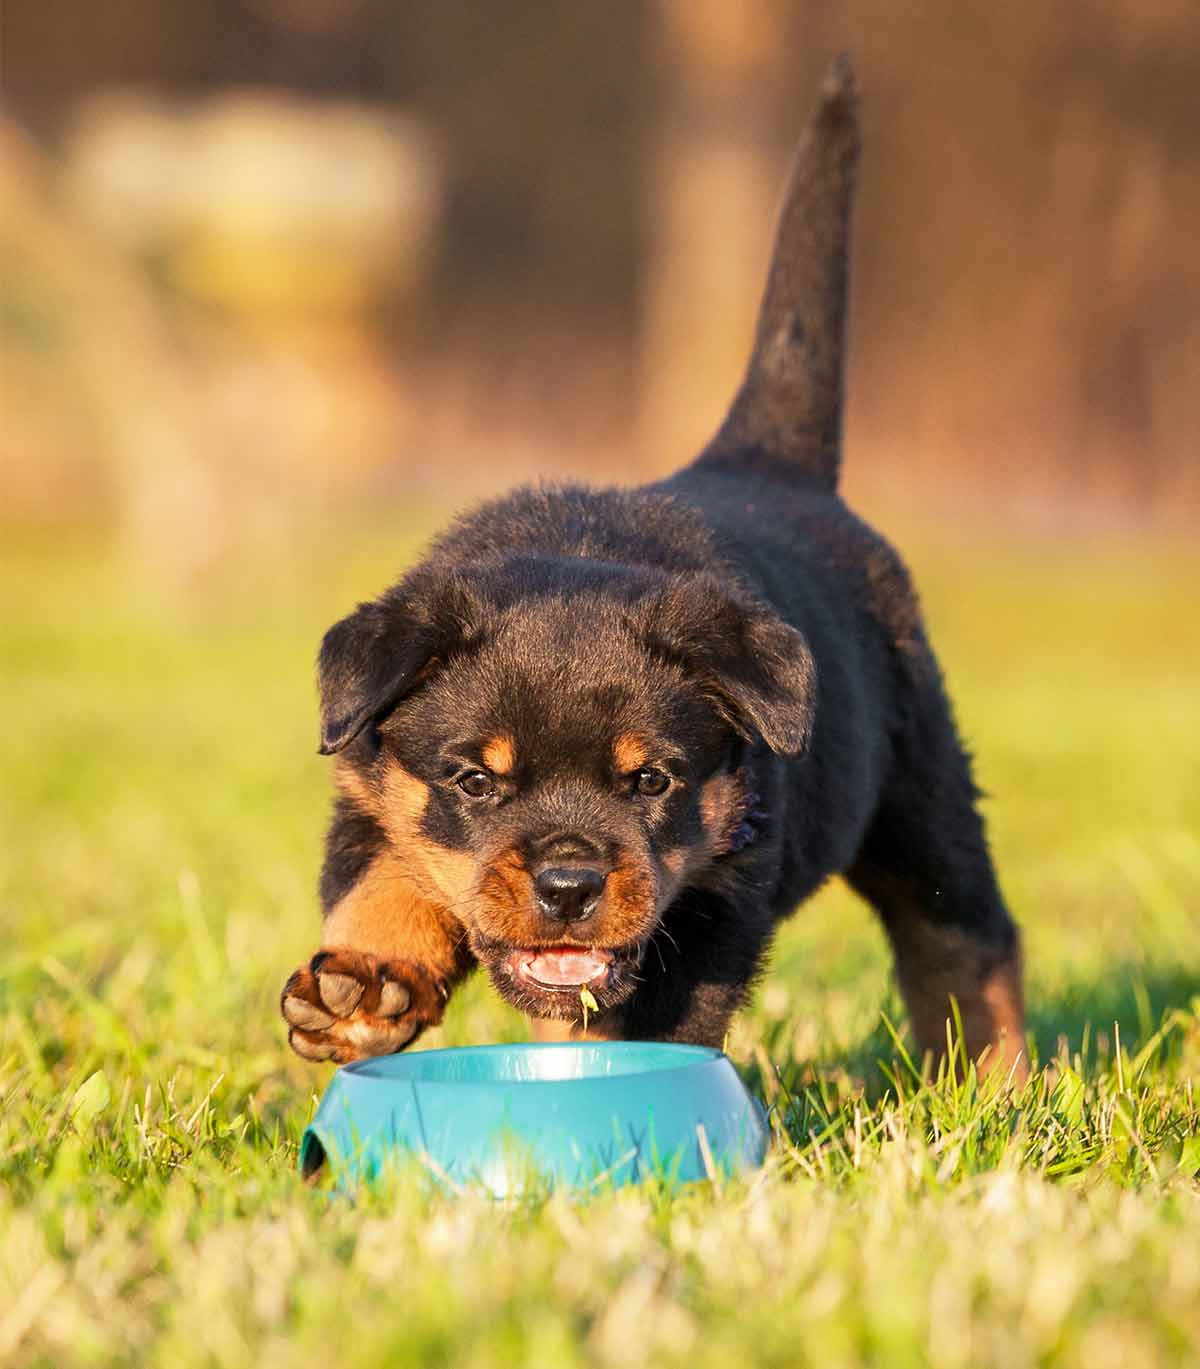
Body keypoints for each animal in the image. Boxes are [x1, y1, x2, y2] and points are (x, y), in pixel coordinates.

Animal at [276, 58, 1023, 1078]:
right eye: (473, 782)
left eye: (653, 782)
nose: (568, 882)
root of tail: (764, 464)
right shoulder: (366, 787)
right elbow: (387, 870)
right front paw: (366, 980)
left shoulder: (721, 896)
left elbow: (647, 1027)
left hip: (923, 789)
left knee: (964, 936)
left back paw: (995, 1082)